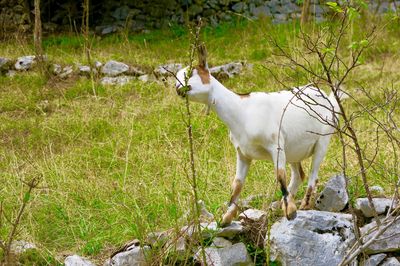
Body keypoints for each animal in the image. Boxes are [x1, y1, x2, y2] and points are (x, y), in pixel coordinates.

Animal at [176, 46, 344, 227]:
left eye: (190, 73)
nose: (178, 88)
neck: (241, 111)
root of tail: (326, 97)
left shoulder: (275, 145)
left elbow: (280, 176)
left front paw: (291, 212)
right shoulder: (243, 153)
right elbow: (237, 184)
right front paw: (226, 218)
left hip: (323, 139)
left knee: (313, 173)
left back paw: (304, 205)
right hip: (293, 150)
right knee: (299, 174)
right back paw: (283, 204)